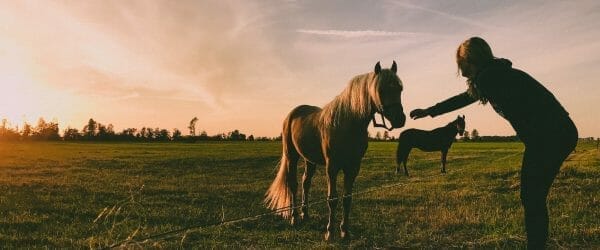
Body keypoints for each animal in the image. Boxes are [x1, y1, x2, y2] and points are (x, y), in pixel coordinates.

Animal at [264, 60, 406, 240]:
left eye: (400, 89)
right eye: (380, 89)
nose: (400, 119)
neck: (347, 124)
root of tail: (292, 114)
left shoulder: (353, 167)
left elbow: (347, 198)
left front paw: (345, 231)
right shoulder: (332, 167)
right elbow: (332, 199)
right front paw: (330, 232)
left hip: (309, 160)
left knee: (305, 183)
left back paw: (305, 214)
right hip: (291, 156)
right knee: (293, 184)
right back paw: (294, 218)